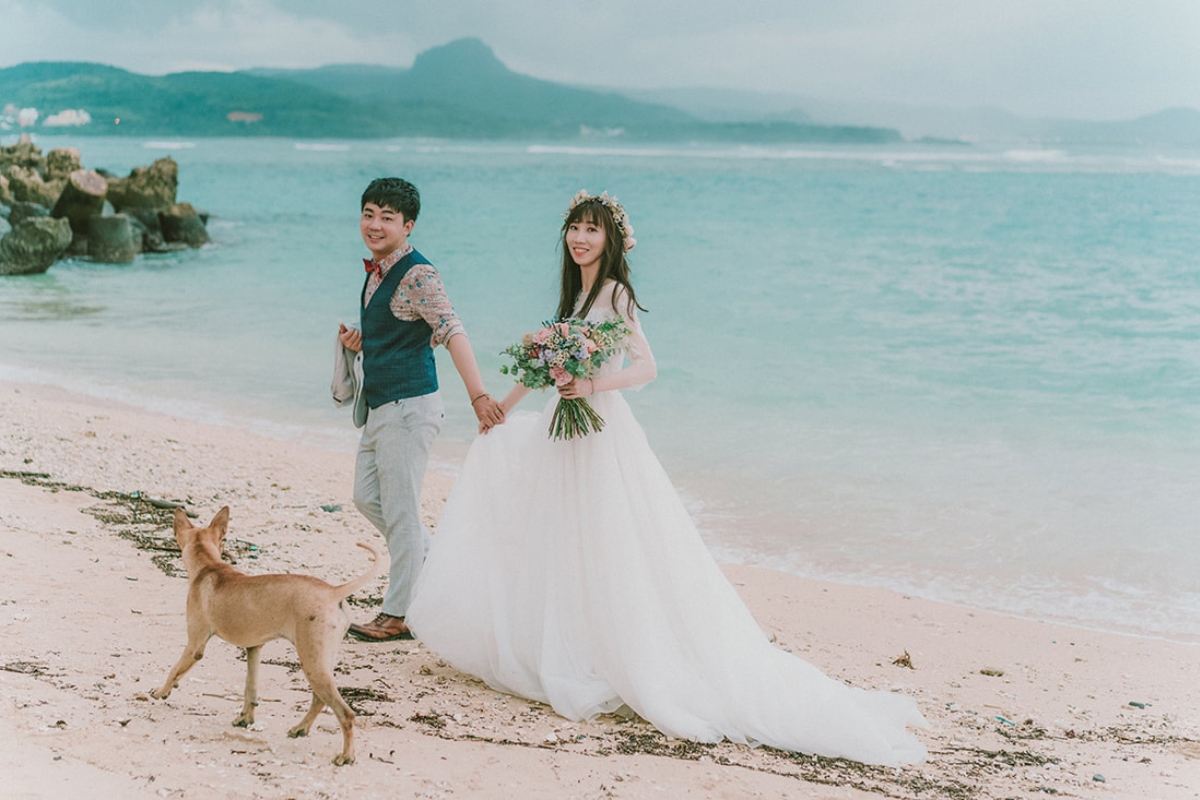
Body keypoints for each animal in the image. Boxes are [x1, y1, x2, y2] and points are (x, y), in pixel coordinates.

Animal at [152, 510, 379, 767]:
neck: (209, 566)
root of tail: (333, 591)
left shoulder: (194, 646)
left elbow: (173, 670)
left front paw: (160, 692)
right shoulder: (254, 648)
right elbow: (250, 689)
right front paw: (245, 718)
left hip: (311, 661)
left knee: (346, 713)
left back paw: (346, 755)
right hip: (321, 661)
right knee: (320, 699)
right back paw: (300, 729)